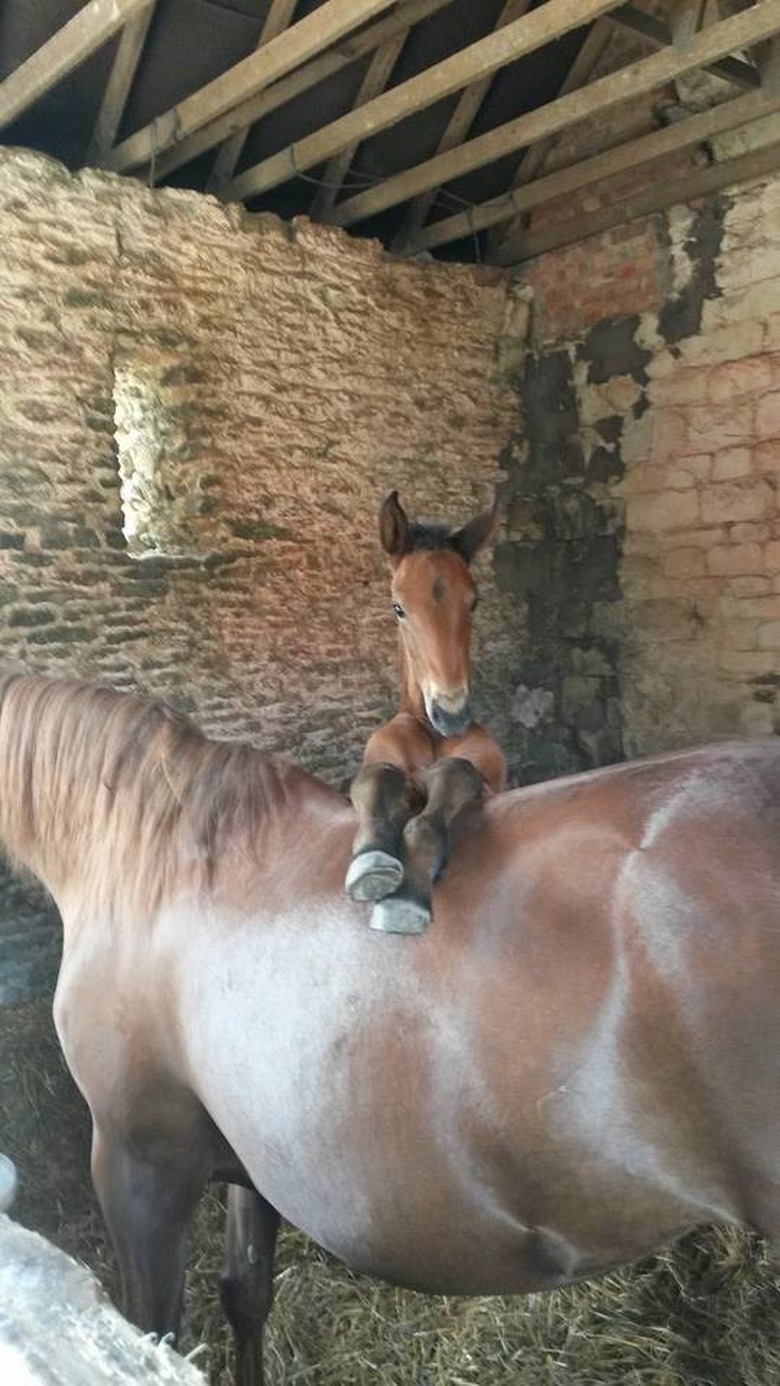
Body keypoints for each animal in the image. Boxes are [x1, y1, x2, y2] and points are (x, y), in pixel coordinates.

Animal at [346, 493, 507, 936]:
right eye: (398, 607)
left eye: (474, 601)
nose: (451, 713)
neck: (432, 735)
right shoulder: (383, 761)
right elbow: (375, 776)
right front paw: (370, 861)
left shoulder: (489, 781)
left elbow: (453, 774)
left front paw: (405, 899)